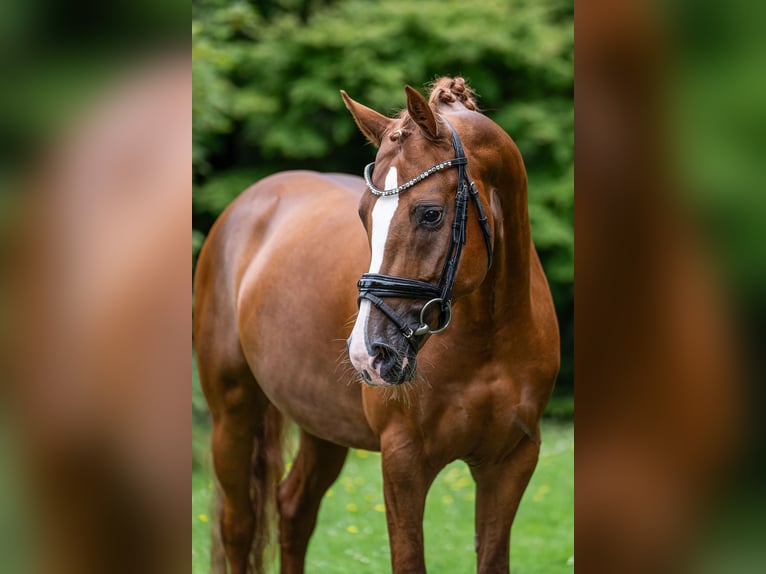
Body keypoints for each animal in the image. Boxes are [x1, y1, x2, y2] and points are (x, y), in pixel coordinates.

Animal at [195, 77, 560, 574]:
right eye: (364, 214)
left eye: (430, 213)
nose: (368, 353)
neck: (489, 339)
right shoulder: (403, 462)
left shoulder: (511, 462)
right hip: (232, 415)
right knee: (239, 526)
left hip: (320, 424)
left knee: (294, 510)